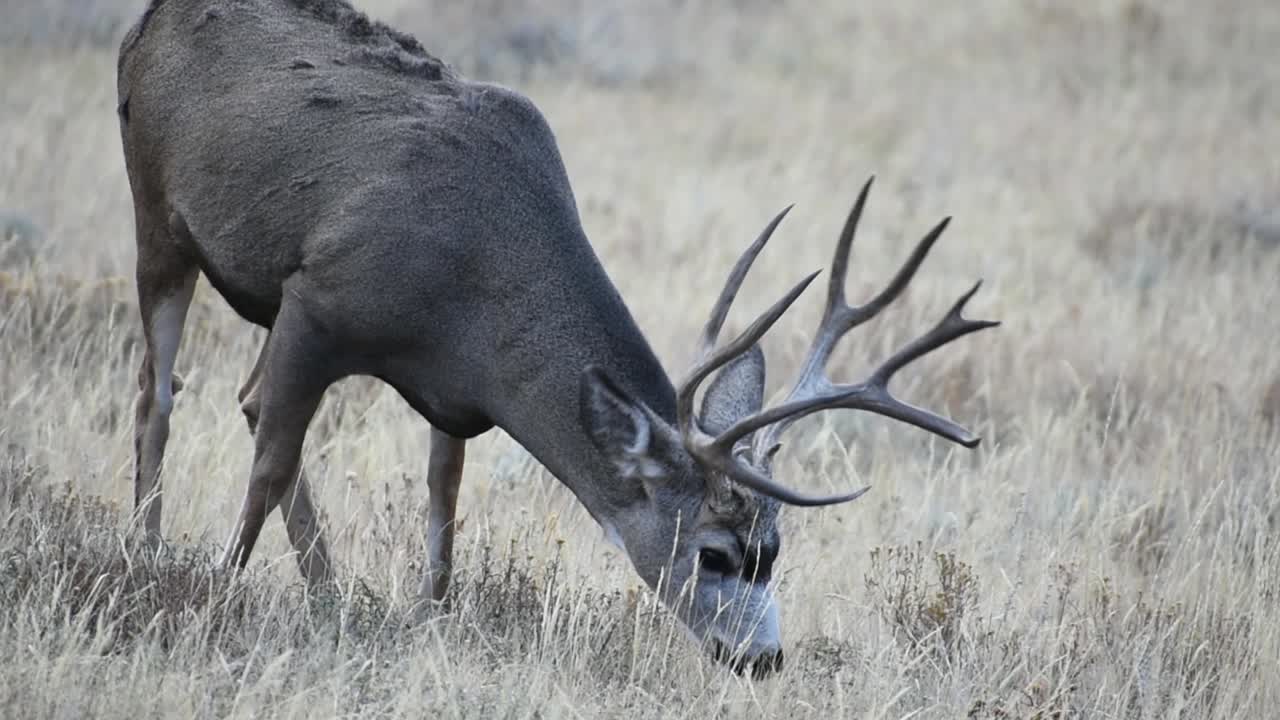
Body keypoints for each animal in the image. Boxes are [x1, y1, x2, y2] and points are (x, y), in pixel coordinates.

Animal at [116, 0, 997, 676]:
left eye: (776, 548)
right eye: (713, 553)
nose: (763, 659)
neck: (473, 273)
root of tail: (149, 19)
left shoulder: (452, 390)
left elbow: (442, 497)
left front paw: (430, 614)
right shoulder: (316, 299)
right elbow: (269, 462)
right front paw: (220, 595)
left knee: (240, 397)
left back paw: (326, 591)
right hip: (158, 216)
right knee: (162, 393)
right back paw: (146, 553)